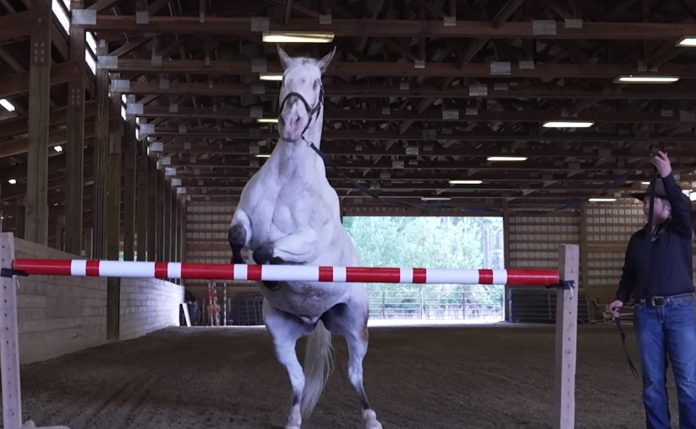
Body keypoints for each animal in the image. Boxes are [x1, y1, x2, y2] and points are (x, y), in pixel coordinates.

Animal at [227, 47, 383, 429]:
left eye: (317, 84)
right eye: (284, 79)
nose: (291, 124)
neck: (288, 177)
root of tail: (316, 321)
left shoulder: (309, 243)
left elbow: (269, 250)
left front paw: (269, 271)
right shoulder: (242, 217)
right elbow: (238, 234)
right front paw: (241, 260)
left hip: (356, 325)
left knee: (355, 374)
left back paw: (372, 418)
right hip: (279, 334)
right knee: (297, 380)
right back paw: (293, 420)